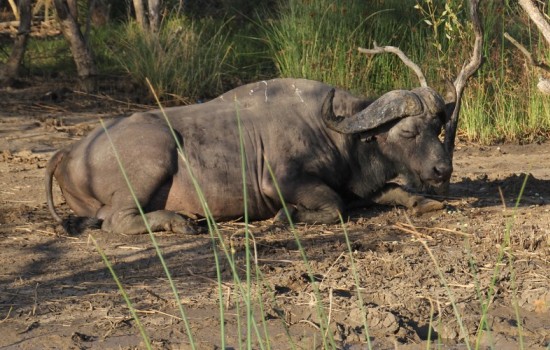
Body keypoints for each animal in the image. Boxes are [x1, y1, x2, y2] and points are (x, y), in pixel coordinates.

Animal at [46, 78, 452, 234]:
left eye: (437, 128)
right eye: (408, 132)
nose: (442, 170)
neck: (335, 134)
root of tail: (70, 150)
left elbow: (394, 191)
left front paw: (424, 202)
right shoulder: (284, 182)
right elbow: (334, 205)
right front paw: (288, 215)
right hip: (156, 155)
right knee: (117, 220)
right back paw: (178, 221)